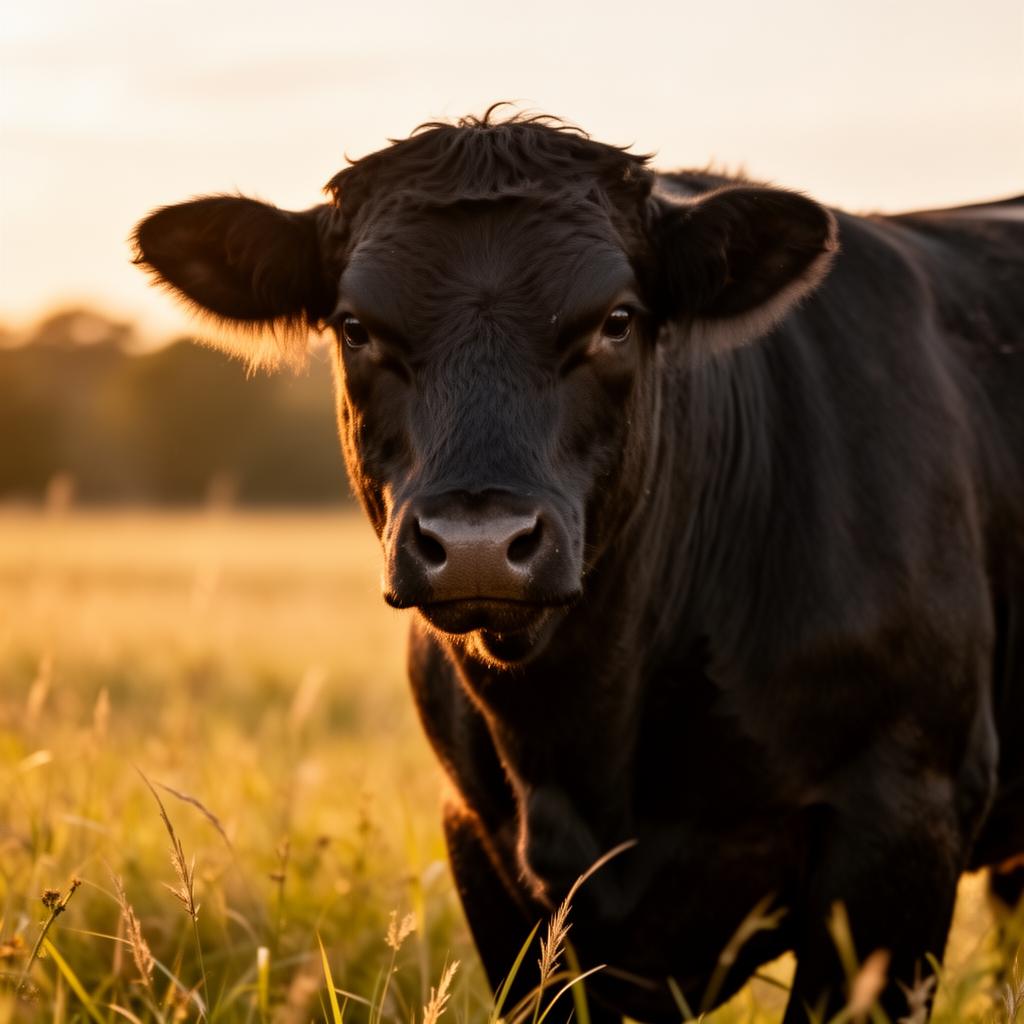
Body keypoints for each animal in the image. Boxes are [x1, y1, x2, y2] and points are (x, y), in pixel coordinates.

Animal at [133, 109, 1024, 1023]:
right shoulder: (485, 850)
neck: (584, 737)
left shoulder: (905, 817)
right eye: (355, 327)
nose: (478, 544)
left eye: (617, 320)